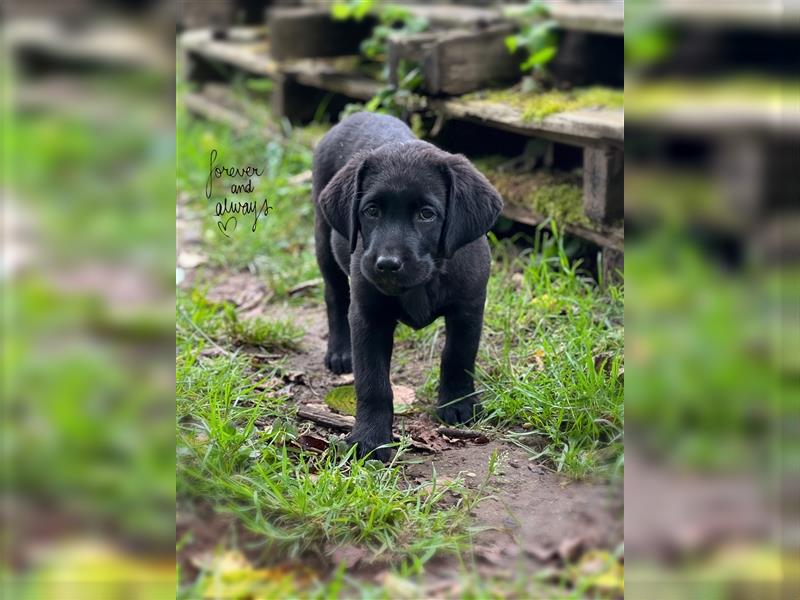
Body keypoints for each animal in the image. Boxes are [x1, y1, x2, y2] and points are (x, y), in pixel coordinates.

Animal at [310, 111, 500, 460]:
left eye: (427, 214)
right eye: (371, 211)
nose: (387, 264)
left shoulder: (469, 308)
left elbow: (458, 357)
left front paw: (458, 405)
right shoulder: (368, 317)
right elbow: (373, 383)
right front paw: (370, 438)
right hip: (323, 240)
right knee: (335, 296)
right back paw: (341, 351)